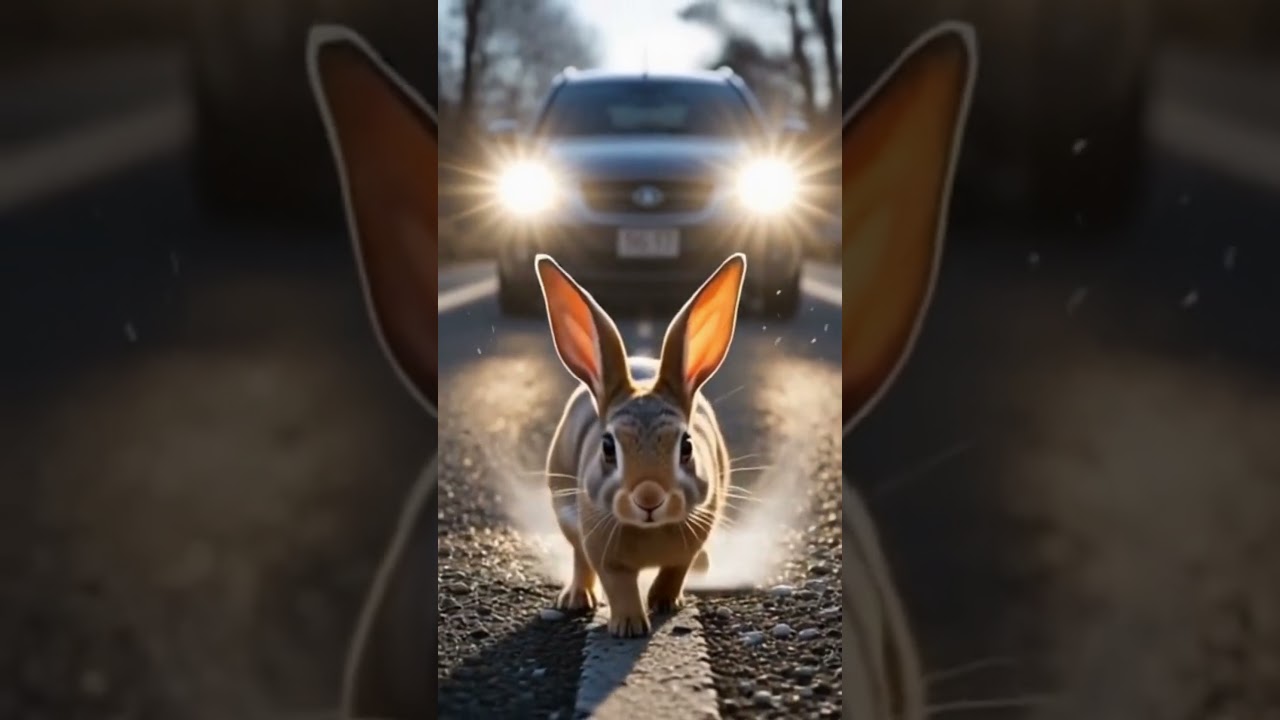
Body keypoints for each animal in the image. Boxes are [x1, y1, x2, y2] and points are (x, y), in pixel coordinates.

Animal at [536, 252, 747, 638]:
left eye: (686, 446)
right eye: (607, 447)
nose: (649, 498)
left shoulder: (687, 547)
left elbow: (674, 573)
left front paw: (665, 604)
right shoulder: (604, 553)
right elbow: (618, 586)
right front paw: (630, 627)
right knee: (579, 558)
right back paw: (576, 599)